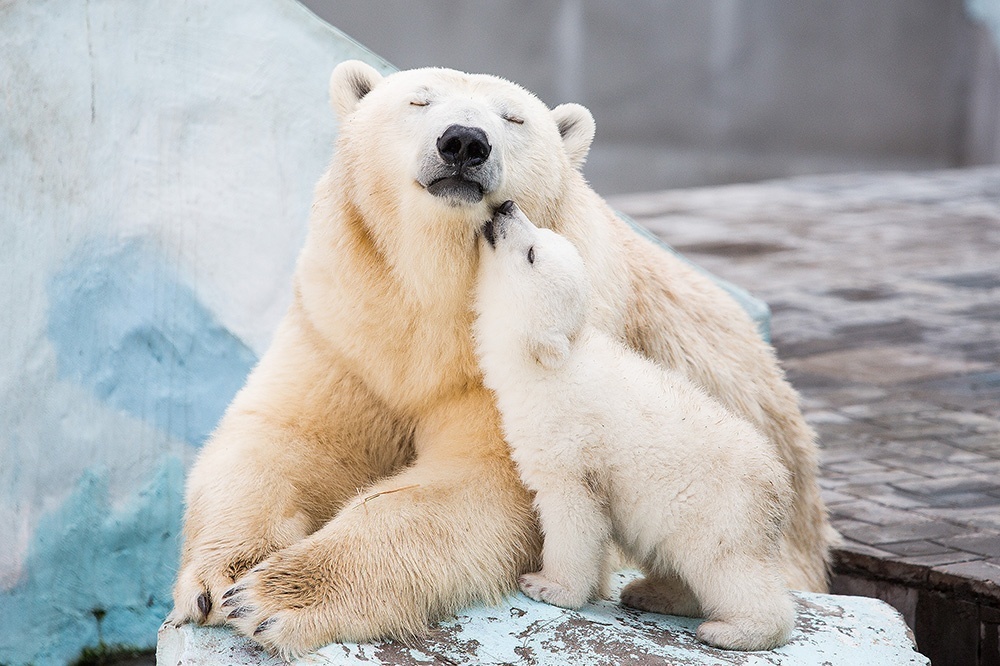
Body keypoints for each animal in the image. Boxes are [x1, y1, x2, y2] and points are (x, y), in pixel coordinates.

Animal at [174, 61, 836, 652]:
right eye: (417, 100)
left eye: (513, 117)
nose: (463, 142)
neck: (434, 301)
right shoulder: (342, 327)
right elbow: (287, 437)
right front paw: (220, 578)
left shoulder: (515, 376)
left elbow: (478, 486)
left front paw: (275, 597)